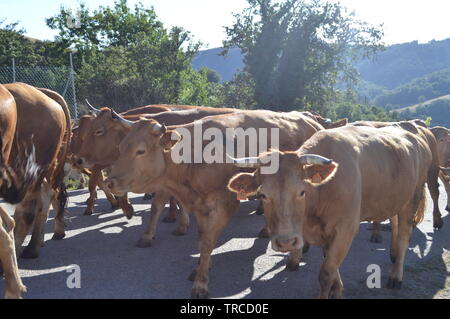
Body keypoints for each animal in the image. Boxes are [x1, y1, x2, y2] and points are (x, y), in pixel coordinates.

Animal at [230, 124, 434, 298]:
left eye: (302, 191)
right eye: (263, 194)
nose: (286, 243)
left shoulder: (346, 228)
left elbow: (326, 273)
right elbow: (331, 262)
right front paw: (338, 289)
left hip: (413, 197)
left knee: (404, 236)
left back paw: (396, 276)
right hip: (394, 199)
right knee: (393, 220)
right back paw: (392, 254)